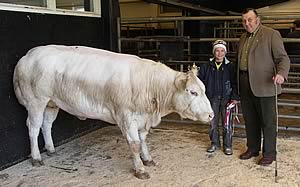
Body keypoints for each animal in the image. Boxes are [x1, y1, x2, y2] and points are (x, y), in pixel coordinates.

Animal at [13, 44, 213, 179]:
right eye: (193, 92)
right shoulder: (126, 117)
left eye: (204, 89)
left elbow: (143, 140)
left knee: (46, 125)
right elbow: (135, 144)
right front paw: (140, 169)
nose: (211, 114)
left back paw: (51, 149)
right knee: (33, 128)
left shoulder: (143, 119)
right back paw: (36, 157)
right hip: (36, 101)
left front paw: (148, 159)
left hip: (51, 103)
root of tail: (28, 55)